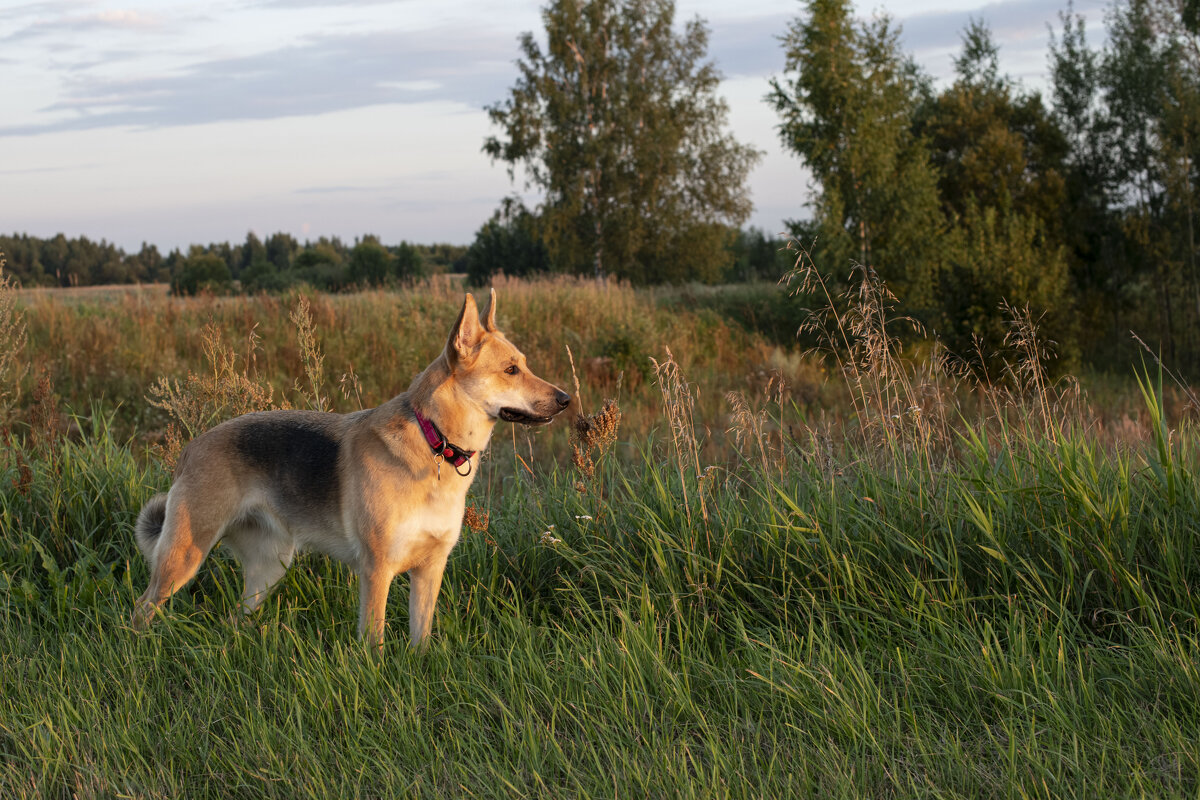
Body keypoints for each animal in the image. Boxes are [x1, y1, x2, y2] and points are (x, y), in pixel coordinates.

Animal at [129, 291, 568, 647]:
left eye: (524, 365)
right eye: (511, 370)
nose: (565, 399)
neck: (434, 440)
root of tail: (193, 446)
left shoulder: (429, 570)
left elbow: (421, 638)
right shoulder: (377, 570)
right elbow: (374, 641)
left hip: (270, 566)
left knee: (235, 619)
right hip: (185, 558)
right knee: (142, 608)